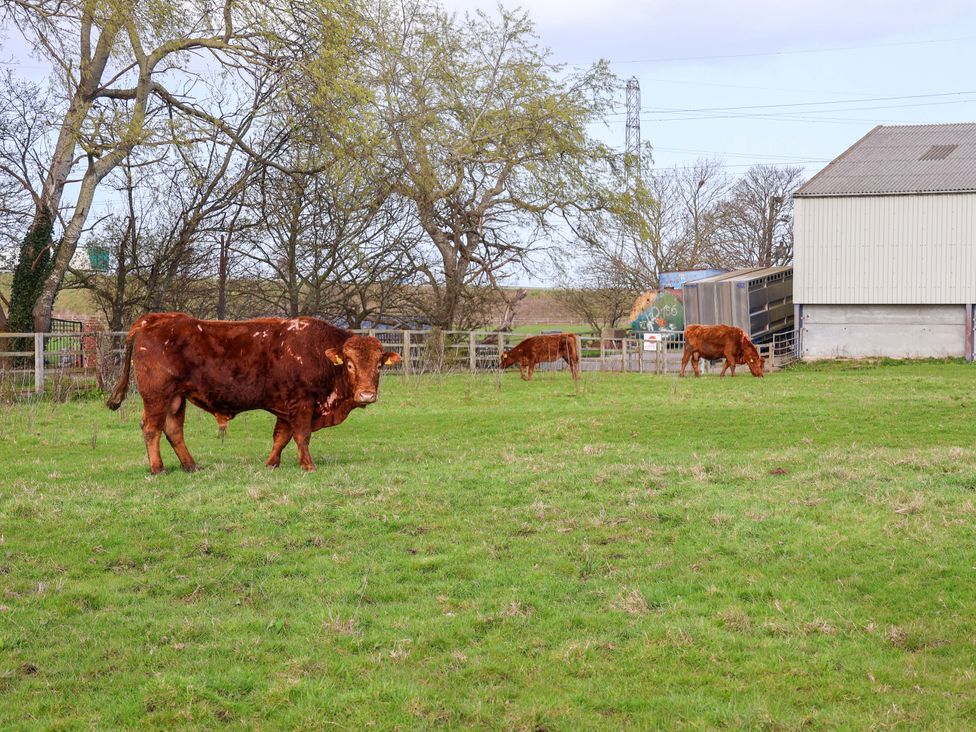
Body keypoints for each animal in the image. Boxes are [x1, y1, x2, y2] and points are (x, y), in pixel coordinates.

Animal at [106, 313, 401, 473]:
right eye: (349, 364)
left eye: (378, 365)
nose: (366, 394)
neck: (317, 351)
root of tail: (154, 319)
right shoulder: (302, 404)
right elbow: (301, 435)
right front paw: (308, 465)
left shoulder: (286, 408)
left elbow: (282, 437)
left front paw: (271, 463)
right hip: (157, 396)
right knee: (151, 429)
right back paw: (158, 468)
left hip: (176, 399)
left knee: (173, 430)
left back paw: (191, 466)